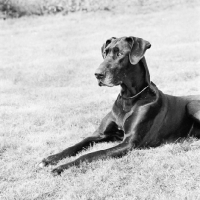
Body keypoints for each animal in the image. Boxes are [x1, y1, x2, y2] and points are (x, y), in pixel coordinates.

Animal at [38, 36, 200, 175]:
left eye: (120, 54)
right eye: (105, 52)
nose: (97, 74)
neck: (128, 98)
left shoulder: (128, 142)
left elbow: (91, 154)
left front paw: (61, 167)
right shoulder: (101, 134)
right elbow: (77, 144)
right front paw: (51, 158)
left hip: (192, 105)